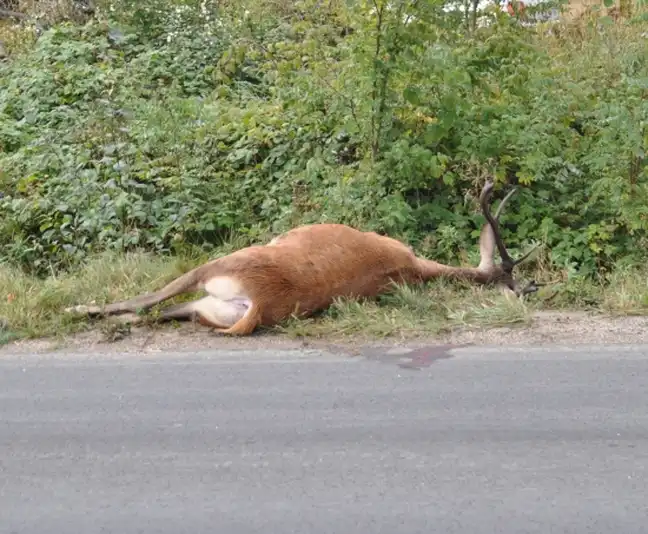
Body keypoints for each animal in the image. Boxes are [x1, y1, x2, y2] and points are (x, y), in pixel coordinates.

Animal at [67, 182, 540, 338]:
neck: (414, 267)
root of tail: (258, 303)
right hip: (210, 309)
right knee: (153, 314)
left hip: (219, 265)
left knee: (145, 301)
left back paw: (77, 310)